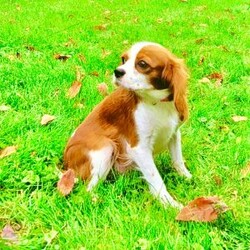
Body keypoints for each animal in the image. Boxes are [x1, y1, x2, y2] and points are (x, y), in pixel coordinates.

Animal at [58, 41, 191, 209]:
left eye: (142, 64)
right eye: (124, 59)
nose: (117, 71)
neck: (156, 102)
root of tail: (65, 162)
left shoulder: (174, 134)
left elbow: (178, 160)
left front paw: (187, 177)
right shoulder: (139, 147)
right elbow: (155, 177)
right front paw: (170, 204)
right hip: (106, 147)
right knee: (87, 190)